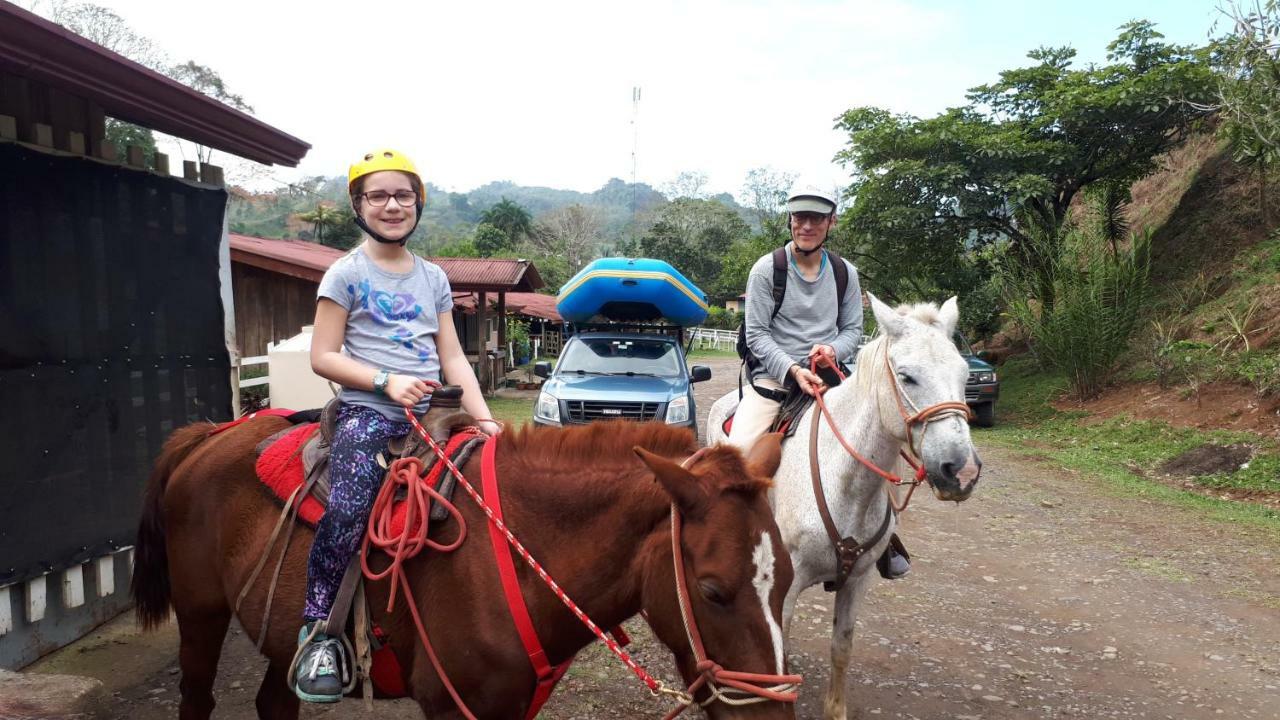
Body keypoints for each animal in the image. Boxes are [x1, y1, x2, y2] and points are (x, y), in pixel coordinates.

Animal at [127, 415, 788, 717]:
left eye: (783, 581)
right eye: (713, 590)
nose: (777, 709)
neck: (515, 561)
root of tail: (211, 433)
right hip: (201, 616)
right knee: (197, 696)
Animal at [706, 292, 983, 717]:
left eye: (965, 375)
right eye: (907, 376)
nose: (962, 470)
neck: (847, 482)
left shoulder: (858, 579)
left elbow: (841, 646)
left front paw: (834, 709)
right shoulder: (789, 581)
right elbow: (779, 648)